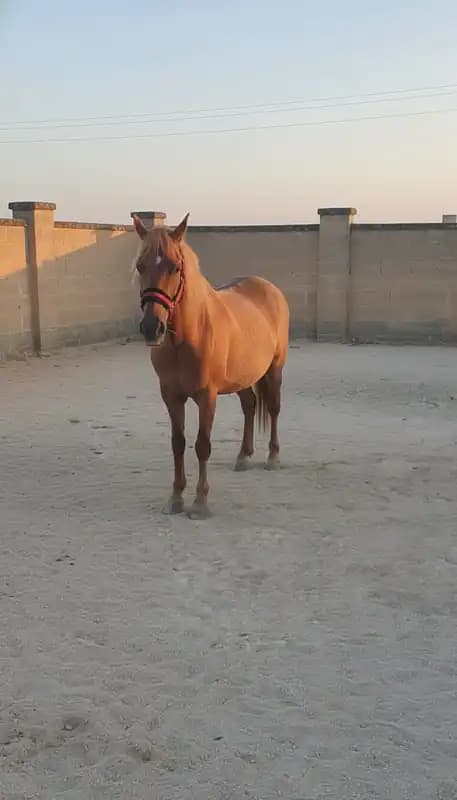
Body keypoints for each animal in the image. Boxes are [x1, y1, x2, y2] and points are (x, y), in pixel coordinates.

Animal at [132, 213, 289, 519]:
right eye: (139, 265)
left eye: (175, 267)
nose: (151, 327)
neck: (187, 337)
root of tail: (270, 289)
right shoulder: (171, 395)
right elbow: (178, 443)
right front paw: (176, 498)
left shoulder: (207, 396)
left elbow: (202, 445)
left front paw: (200, 502)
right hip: (241, 377)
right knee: (250, 406)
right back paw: (243, 456)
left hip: (275, 369)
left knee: (274, 409)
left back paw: (272, 457)